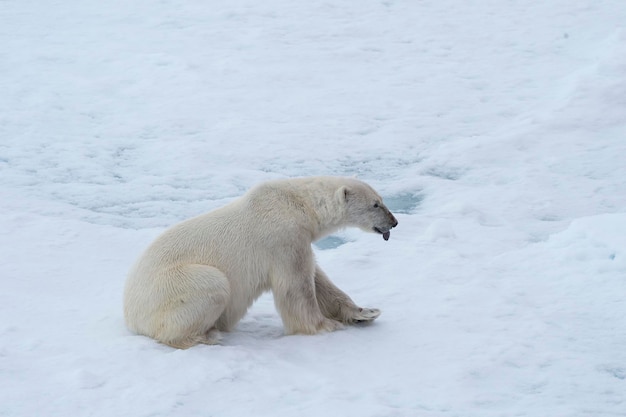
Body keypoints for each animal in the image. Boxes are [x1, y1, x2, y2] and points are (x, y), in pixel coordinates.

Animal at [124, 176, 398, 348]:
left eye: (382, 199)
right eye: (375, 204)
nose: (394, 222)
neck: (296, 204)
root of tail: (130, 316)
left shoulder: (299, 240)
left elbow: (319, 279)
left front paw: (364, 313)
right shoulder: (283, 238)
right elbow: (297, 287)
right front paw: (325, 326)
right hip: (171, 286)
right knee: (213, 285)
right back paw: (206, 336)